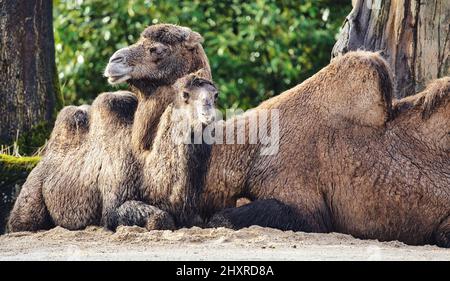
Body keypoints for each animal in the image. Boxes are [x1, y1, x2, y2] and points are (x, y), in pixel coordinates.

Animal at [7, 23, 211, 230]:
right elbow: (159, 218)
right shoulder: (113, 204)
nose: (114, 60)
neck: (144, 162)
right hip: (31, 193)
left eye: (157, 49)